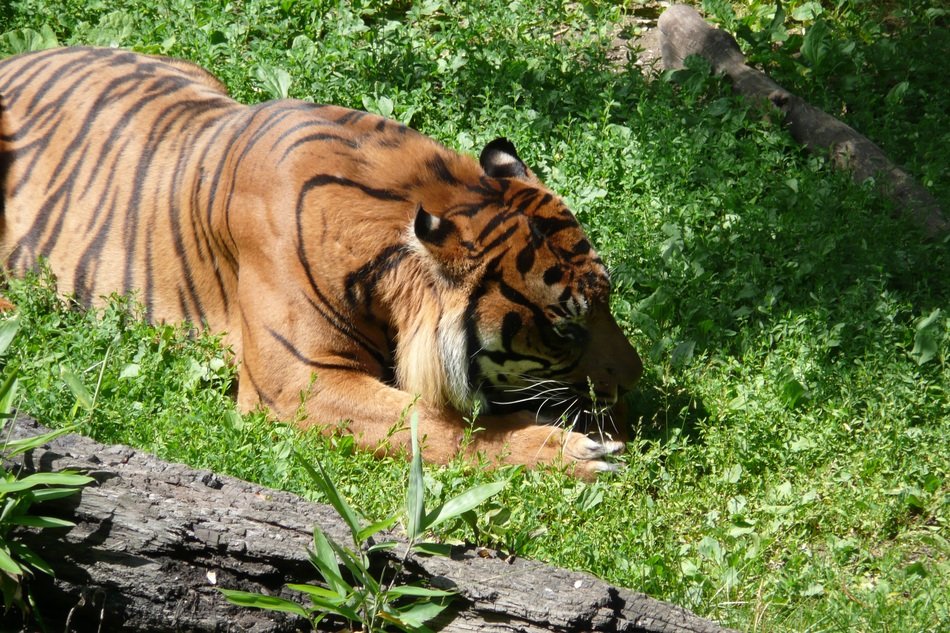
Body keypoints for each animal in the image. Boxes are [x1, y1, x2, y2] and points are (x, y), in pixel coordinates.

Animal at [0, 47, 643, 476]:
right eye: (565, 328)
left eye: (607, 301)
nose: (636, 383)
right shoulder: (301, 382)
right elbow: (435, 423)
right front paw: (578, 452)